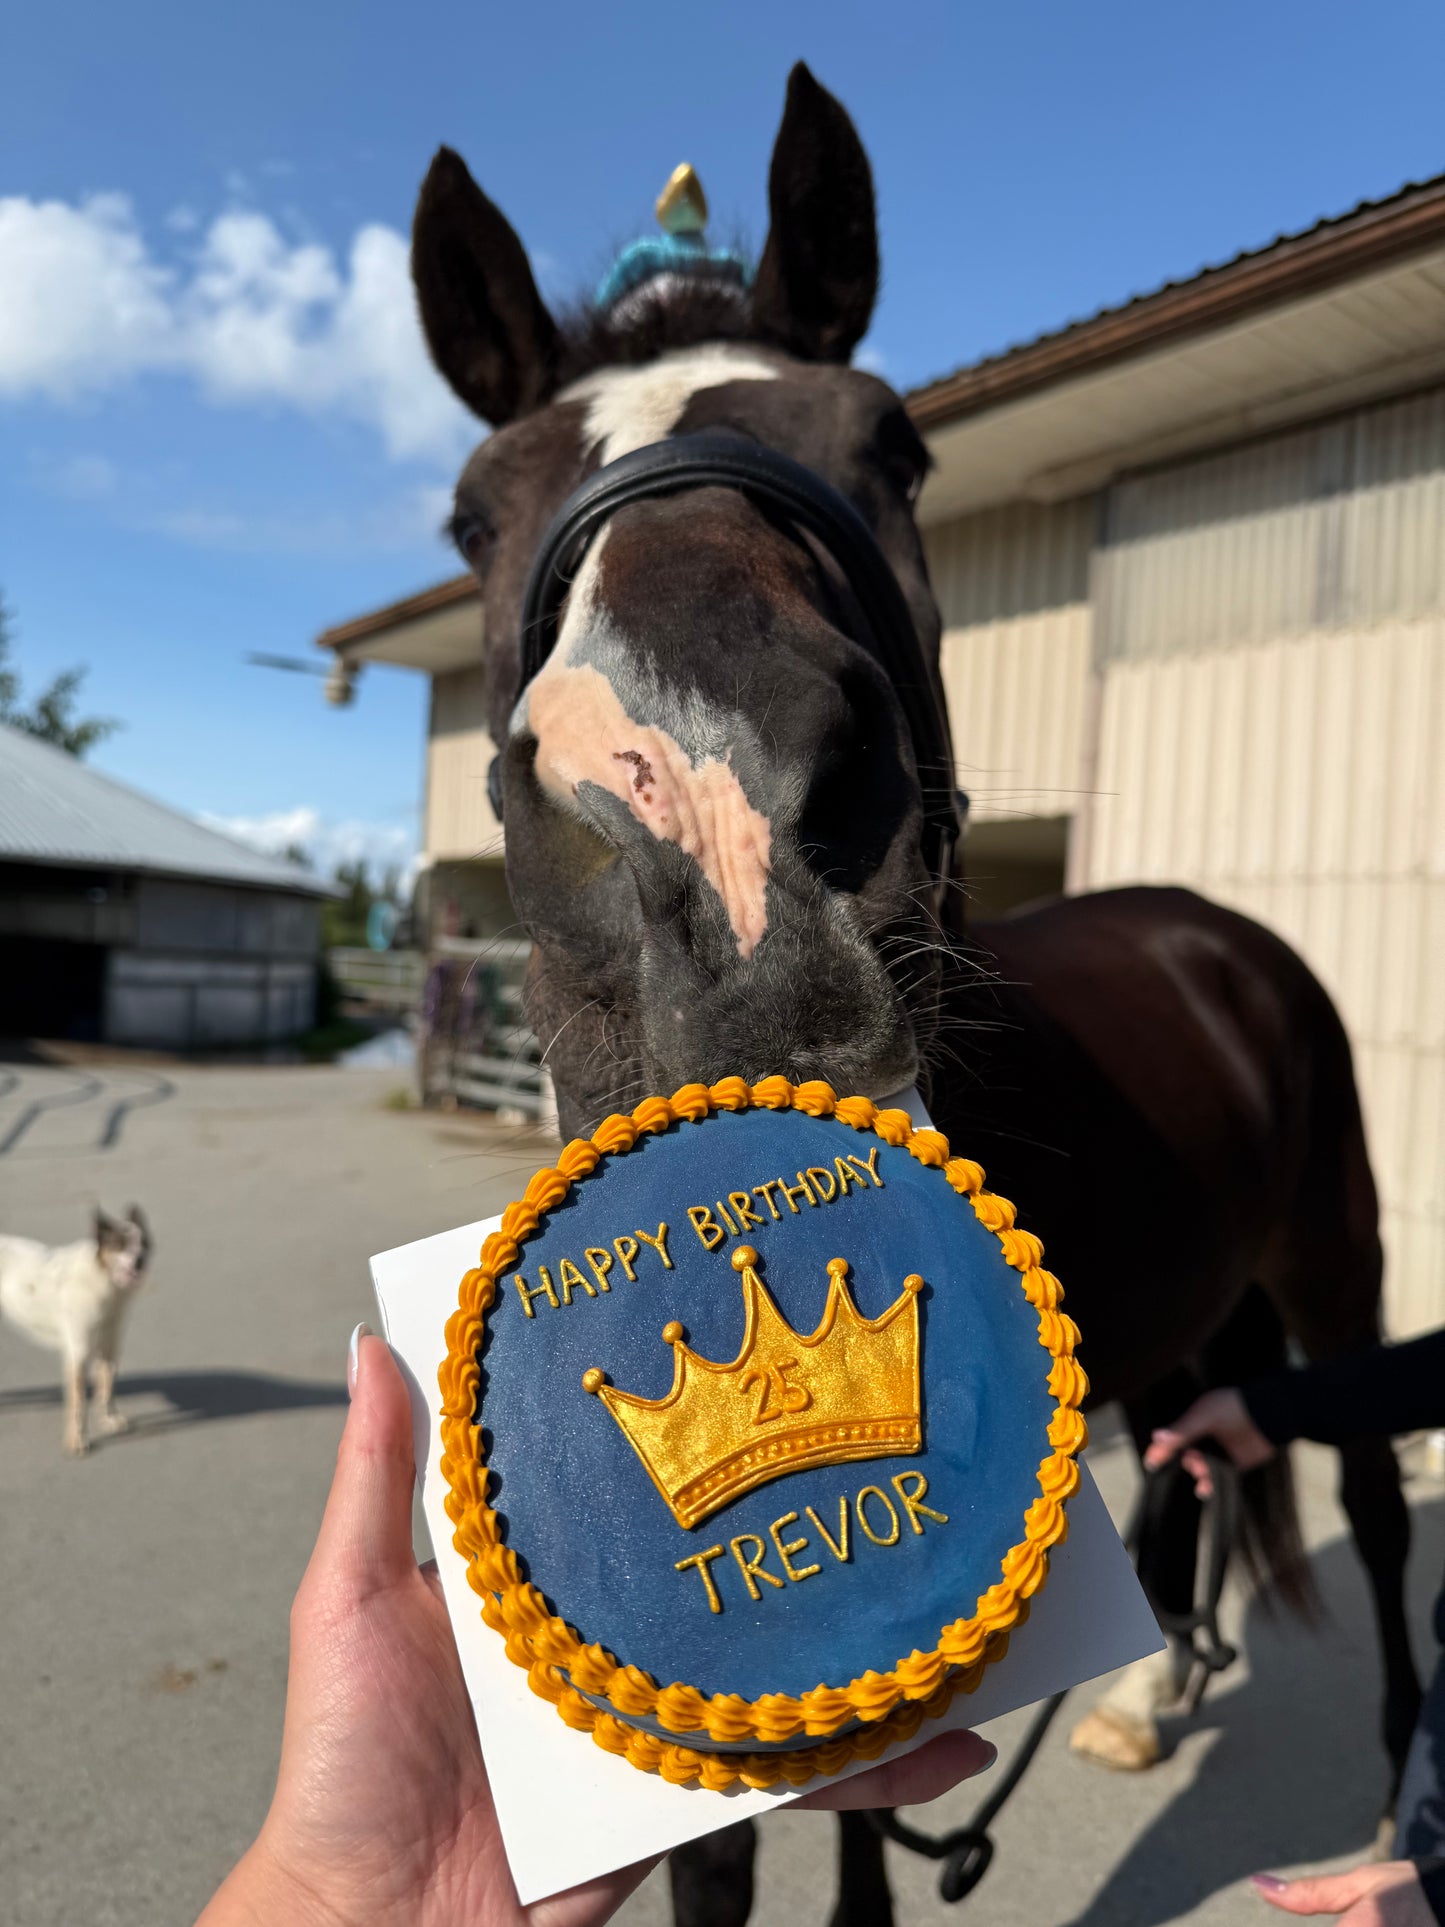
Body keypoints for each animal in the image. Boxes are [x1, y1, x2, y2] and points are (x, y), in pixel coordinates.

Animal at [409, 63, 1421, 1926]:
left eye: (895, 444)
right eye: (472, 512)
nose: (713, 824)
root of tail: (1222, 936)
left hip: (1337, 1251)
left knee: (1377, 1496)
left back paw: (1392, 1800)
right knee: (1197, 1452)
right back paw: (1152, 1701)